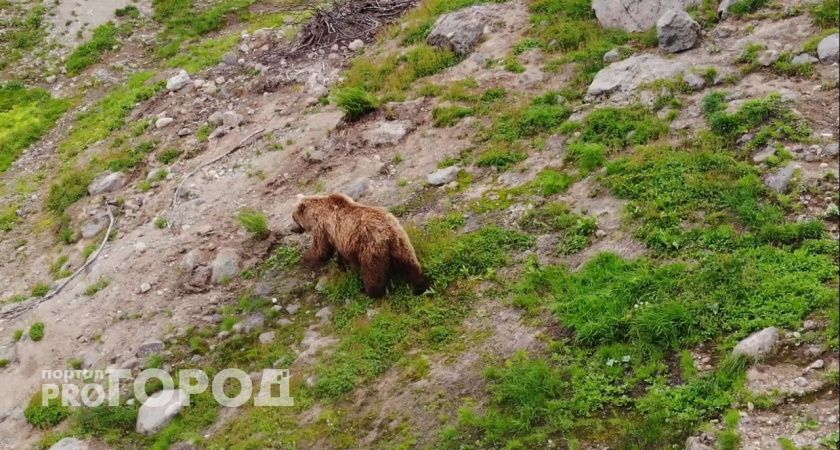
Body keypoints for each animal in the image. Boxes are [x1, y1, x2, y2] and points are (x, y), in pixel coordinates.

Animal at [290, 192, 429, 298]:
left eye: (293, 217)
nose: (292, 229)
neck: (316, 213)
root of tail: (388, 234)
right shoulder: (339, 237)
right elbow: (338, 253)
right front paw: (342, 266)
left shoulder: (323, 228)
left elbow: (321, 250)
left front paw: (305, 257)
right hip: (401, 244)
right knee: (410, 265)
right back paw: (420, 286)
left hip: (370, 250)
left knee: (372, 274)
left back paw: (370, 292)